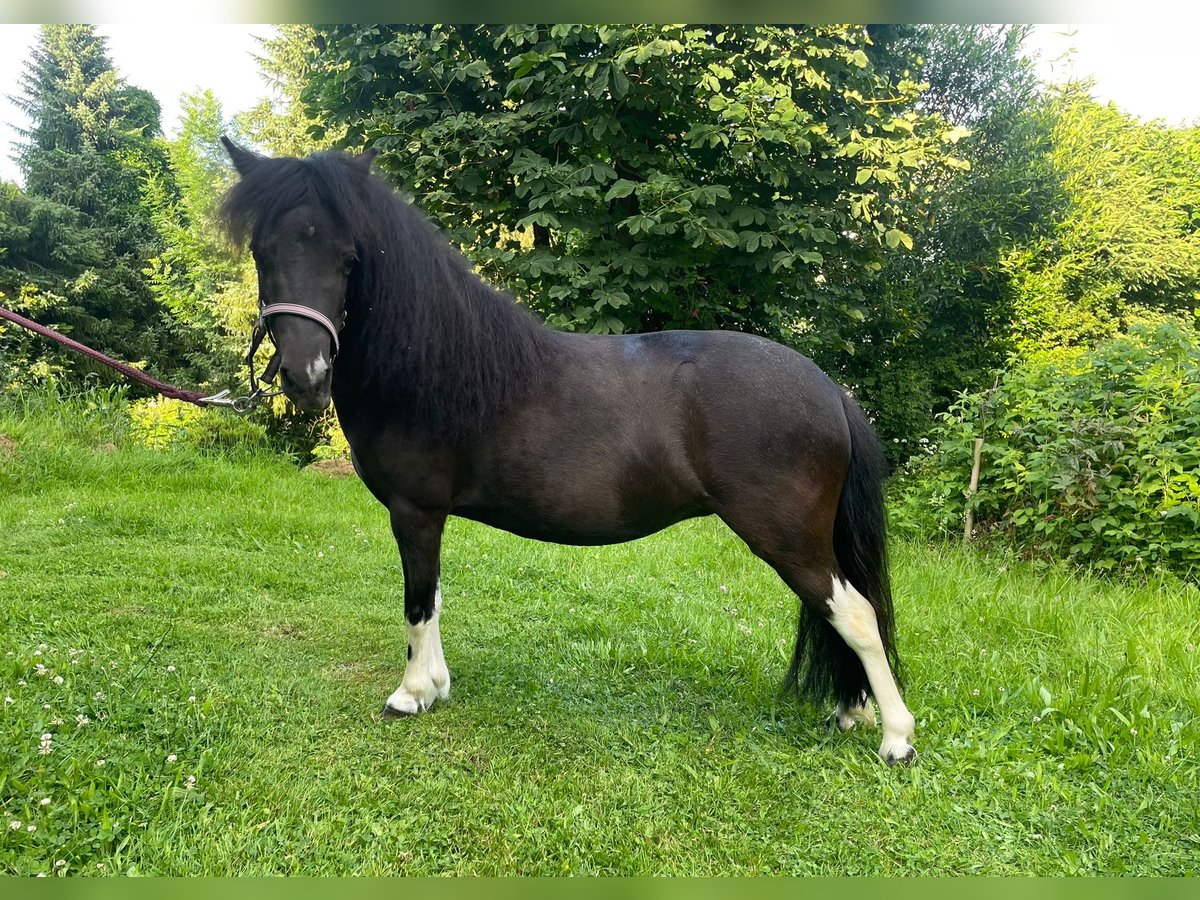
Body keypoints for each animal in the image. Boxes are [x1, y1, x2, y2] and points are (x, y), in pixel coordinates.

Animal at [218, 138, 917, 764]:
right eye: (263, 252)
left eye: (347, 258)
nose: (305, 375)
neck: (435, 367)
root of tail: (829, 387)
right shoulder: (429, 515)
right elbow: (434, 597)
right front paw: (437, 686)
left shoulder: (414, 511)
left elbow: (417, 600)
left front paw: (411, 695)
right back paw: (851, 713)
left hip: (789, 539)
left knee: (856, 615)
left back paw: (896, 739)